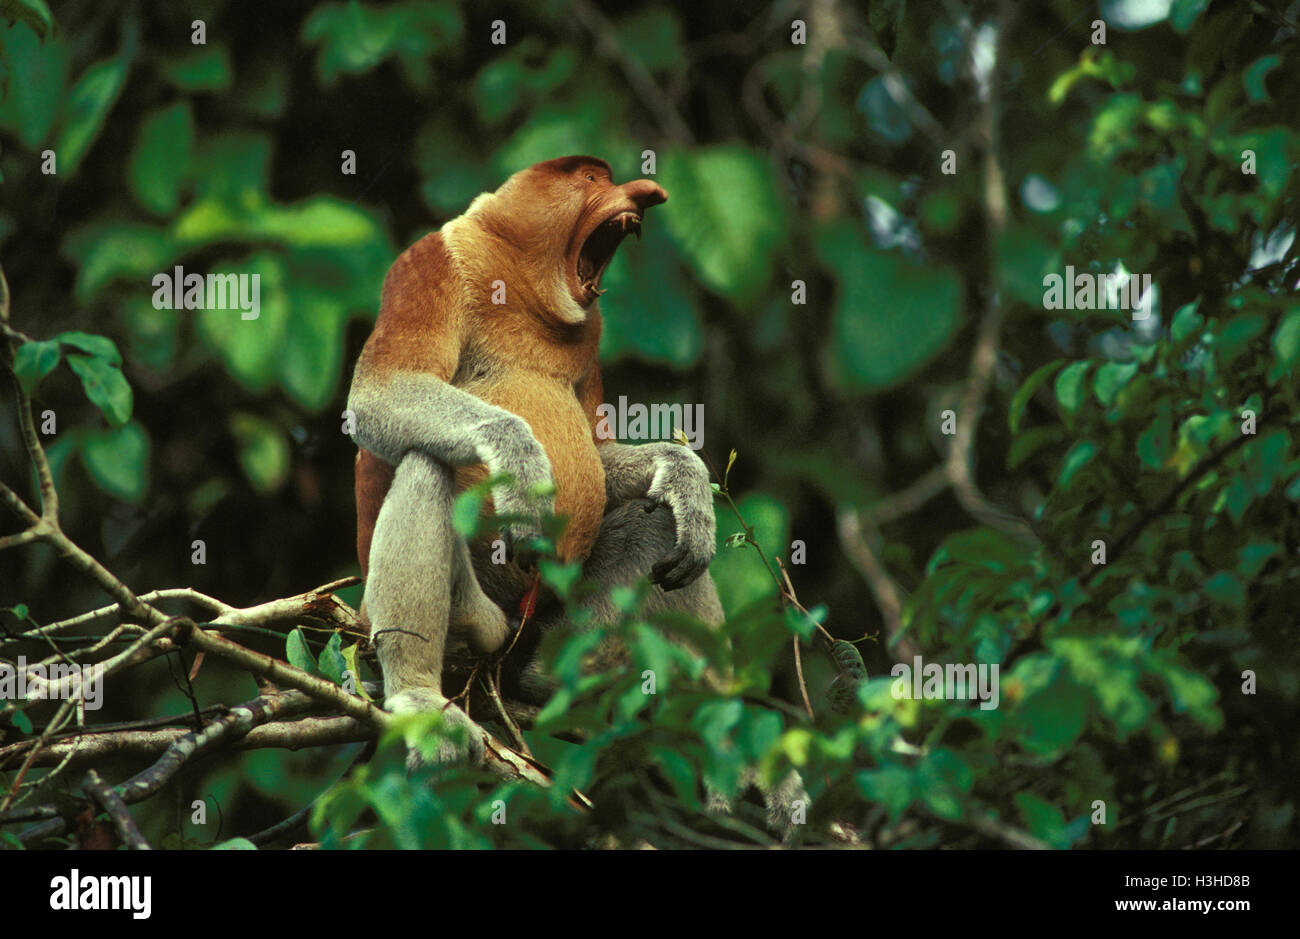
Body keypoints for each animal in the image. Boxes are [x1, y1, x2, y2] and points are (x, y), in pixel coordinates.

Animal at [348, 157, 722, 759]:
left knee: (656, 527)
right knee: (427, 462)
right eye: (591, 178)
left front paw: (685, 474)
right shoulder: (429, 263)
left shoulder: (592, 332)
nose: (646, 191)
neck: (522, 281)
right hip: (476, 615)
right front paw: (520, 462)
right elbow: (378, 393)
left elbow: (598, 454)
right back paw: (420, 697)